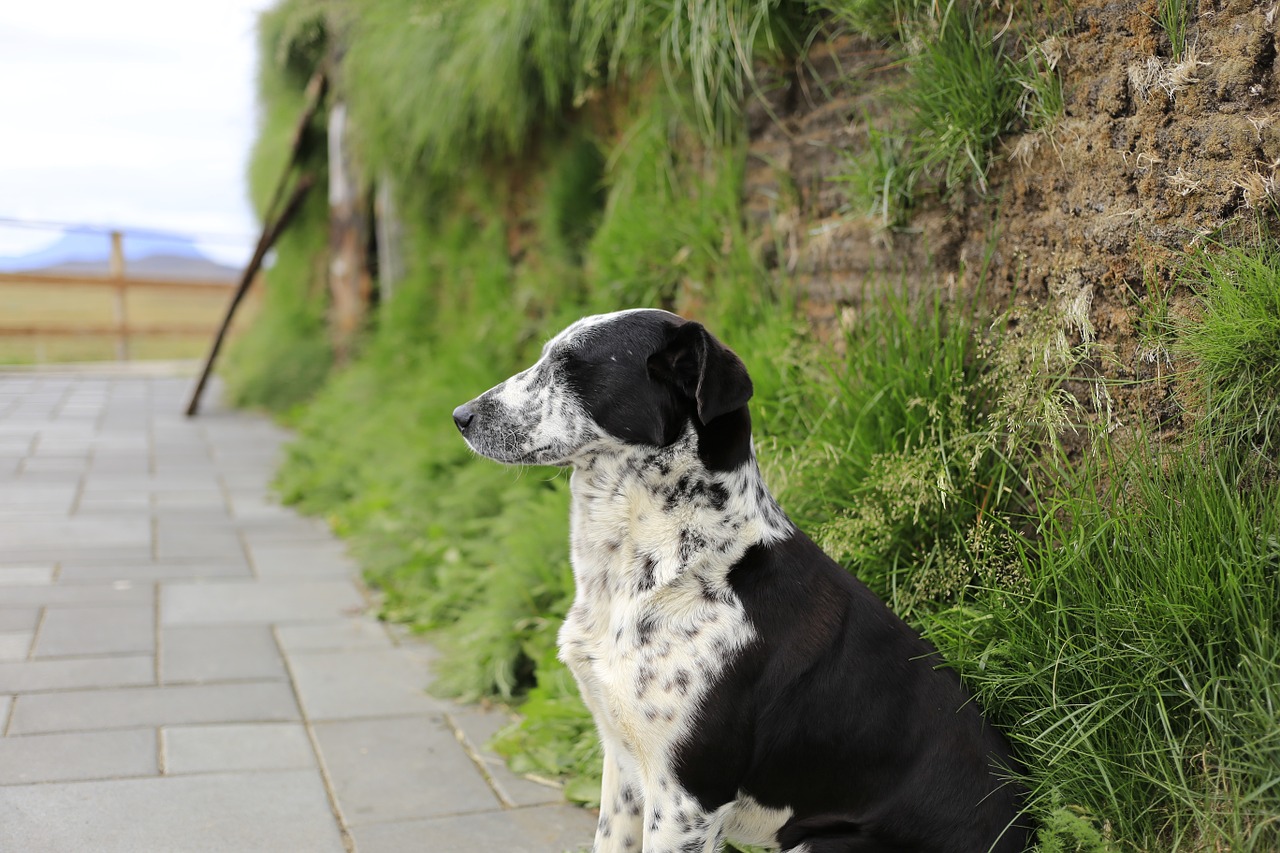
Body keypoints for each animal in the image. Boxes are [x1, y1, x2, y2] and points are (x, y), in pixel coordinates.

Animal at [450, 307, 1029, 850]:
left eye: (571, 367)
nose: (460, 415)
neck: (667, 569)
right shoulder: (624, 767)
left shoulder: (686, 798)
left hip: (820, 842)